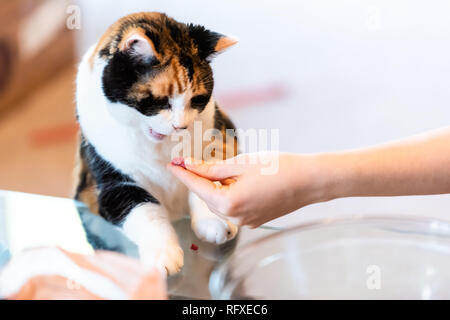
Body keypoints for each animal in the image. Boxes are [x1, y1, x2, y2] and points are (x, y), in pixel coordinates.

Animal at [74, 11, 239, 274]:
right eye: (161, 101)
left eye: (196, 99)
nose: (181, 126)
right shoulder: (112, 183)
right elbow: (145, 211)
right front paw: (163, 255)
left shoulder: (220, 133)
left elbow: (208, 179)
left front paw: (215, 221)